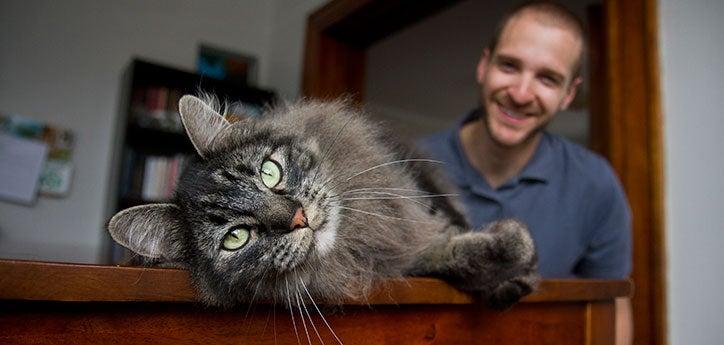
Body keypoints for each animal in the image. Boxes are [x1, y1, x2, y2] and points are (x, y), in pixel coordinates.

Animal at [107, 93, 536, 310]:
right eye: (236, 238)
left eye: (269, 172)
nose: (297, 217)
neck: (351, 243)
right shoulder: (400, 257)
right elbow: (445, 253)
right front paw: (509, 255)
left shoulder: (409, 199)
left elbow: (447, 227)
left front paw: (520, 266)